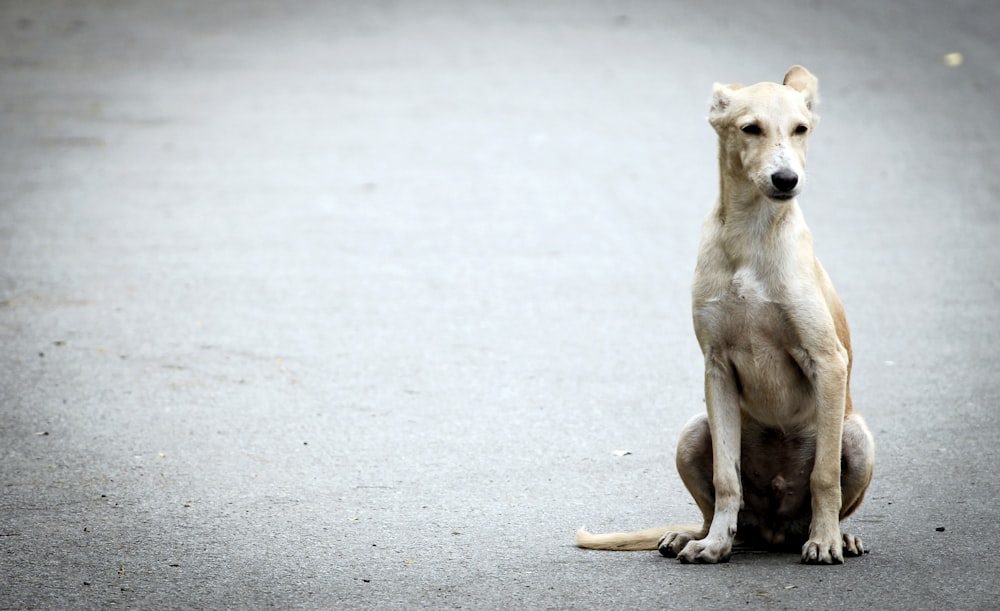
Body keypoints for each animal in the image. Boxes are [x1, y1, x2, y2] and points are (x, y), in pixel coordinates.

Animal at [580, 65, 876, 564]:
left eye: (801, 129)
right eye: (750, 128)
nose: (786, 179)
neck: (751, 235)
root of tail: (774, 531)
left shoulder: (828, 360)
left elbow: (824, 477)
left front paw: (825, 541)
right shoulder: (716, 366)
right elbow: (726, 477)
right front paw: (714, 544)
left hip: (857, 435)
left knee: (830, 489)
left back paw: (839, 536)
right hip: (693, 431)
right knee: (722, 507)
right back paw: (694, 536)